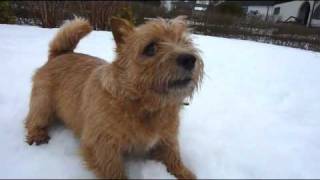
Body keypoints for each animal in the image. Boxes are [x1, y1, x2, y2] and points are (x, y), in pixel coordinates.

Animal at [26, 16, 204, 179]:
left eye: (185, 42)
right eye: (151, 48)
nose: (189, 59)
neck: (144, 106)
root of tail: (61, 54)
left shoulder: (167, 140)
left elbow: (175, 159)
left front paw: (186, 174)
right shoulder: (102, 146)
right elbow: (114, 171)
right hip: (43, 103)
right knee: (33, 120)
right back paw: (37, 135)